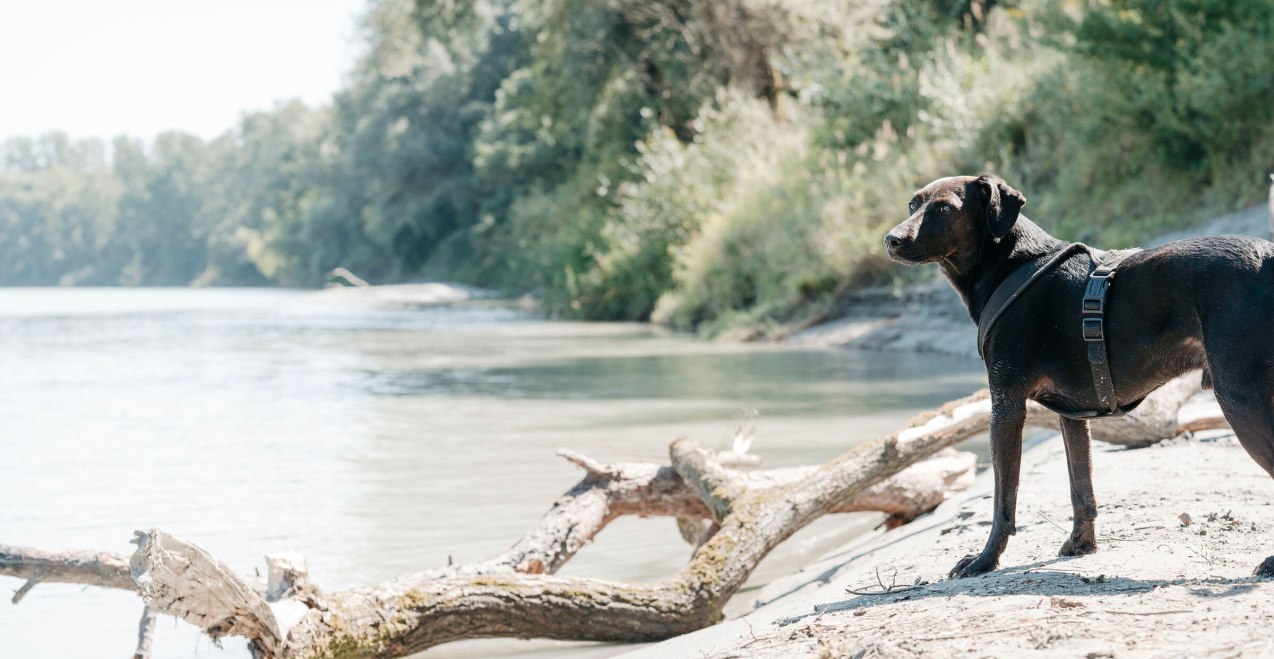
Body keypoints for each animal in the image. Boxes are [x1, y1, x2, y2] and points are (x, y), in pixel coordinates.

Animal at [886, 173, 1274, 576]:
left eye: (944, 208)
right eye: (913, 204)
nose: (891, 240)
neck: (1009, 264)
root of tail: (1268, 257)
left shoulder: (1005, 408)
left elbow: (1003, 502)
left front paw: (985, 560)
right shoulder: (1072, 414)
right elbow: (1080, 488)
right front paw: (1081, 545)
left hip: (1240, 399)